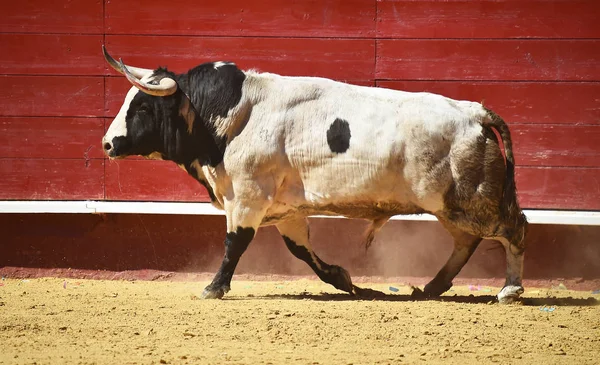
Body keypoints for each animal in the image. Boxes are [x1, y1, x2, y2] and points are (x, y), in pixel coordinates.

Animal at [103, 45, 528, 302]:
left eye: (143, 107)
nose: (107, 144)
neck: (230, 113)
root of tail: (474, 111)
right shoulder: (284, 209)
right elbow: (300, 249)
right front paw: (344, 280)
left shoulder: (248, 197)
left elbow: (234, 244)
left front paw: (214, 287)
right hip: (452, 206)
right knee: (466, 241)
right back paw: (432, 287)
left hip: (471, 201)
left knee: (514, 228)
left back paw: (509, 289)